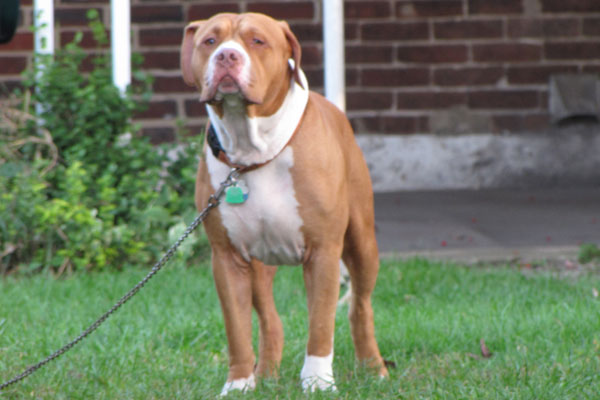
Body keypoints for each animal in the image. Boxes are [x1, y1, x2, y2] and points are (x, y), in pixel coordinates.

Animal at [180, 13, 386, 396]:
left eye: (257, 41)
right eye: (210, 41)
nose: (227, 55)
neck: (252, 152)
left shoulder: (323, 252)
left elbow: (320, 325)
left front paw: (318, 382)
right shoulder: (227, 259)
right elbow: (237, 330)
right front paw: (238, 384)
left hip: (362, 244)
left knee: (359, 306)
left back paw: (374, 367)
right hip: (259, 265)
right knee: (270, 320)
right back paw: (264, 376)